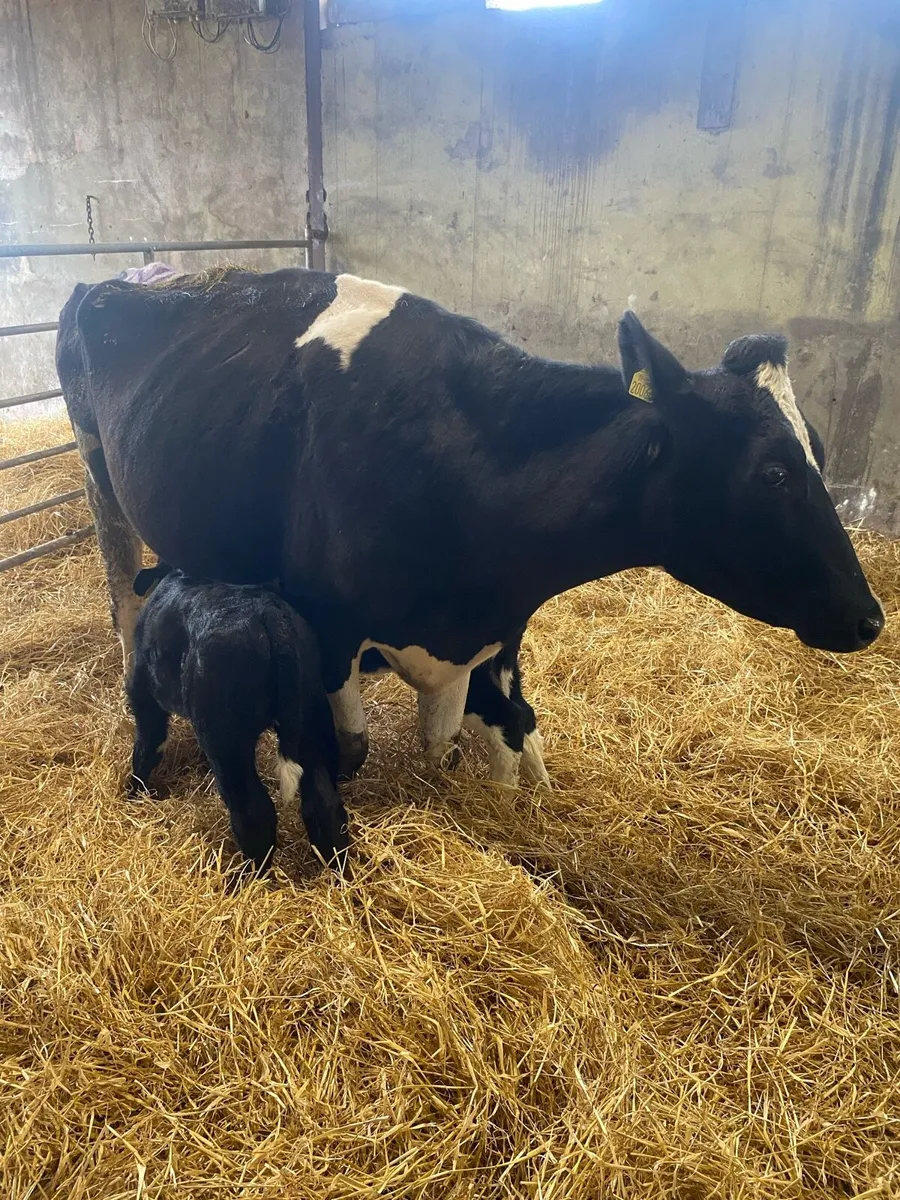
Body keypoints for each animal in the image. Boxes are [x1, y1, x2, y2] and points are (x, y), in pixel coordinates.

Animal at [55, 268, 884, 788]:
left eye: (818, 446)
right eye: (773, 473)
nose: (871, 618)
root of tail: (127, 278)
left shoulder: (498, 631)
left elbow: (489, 734)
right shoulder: (328, 629)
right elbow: (353, 749)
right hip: (100, 474)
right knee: (122, 590)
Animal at [128, 563, 349, 872]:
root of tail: (269, 615)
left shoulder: (144, 692)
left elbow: (147, 745)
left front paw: (134, 792)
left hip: (226, 738)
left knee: (253, 810)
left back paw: (249, 874)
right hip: (311, 719)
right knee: (324, 805)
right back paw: (339, 871)